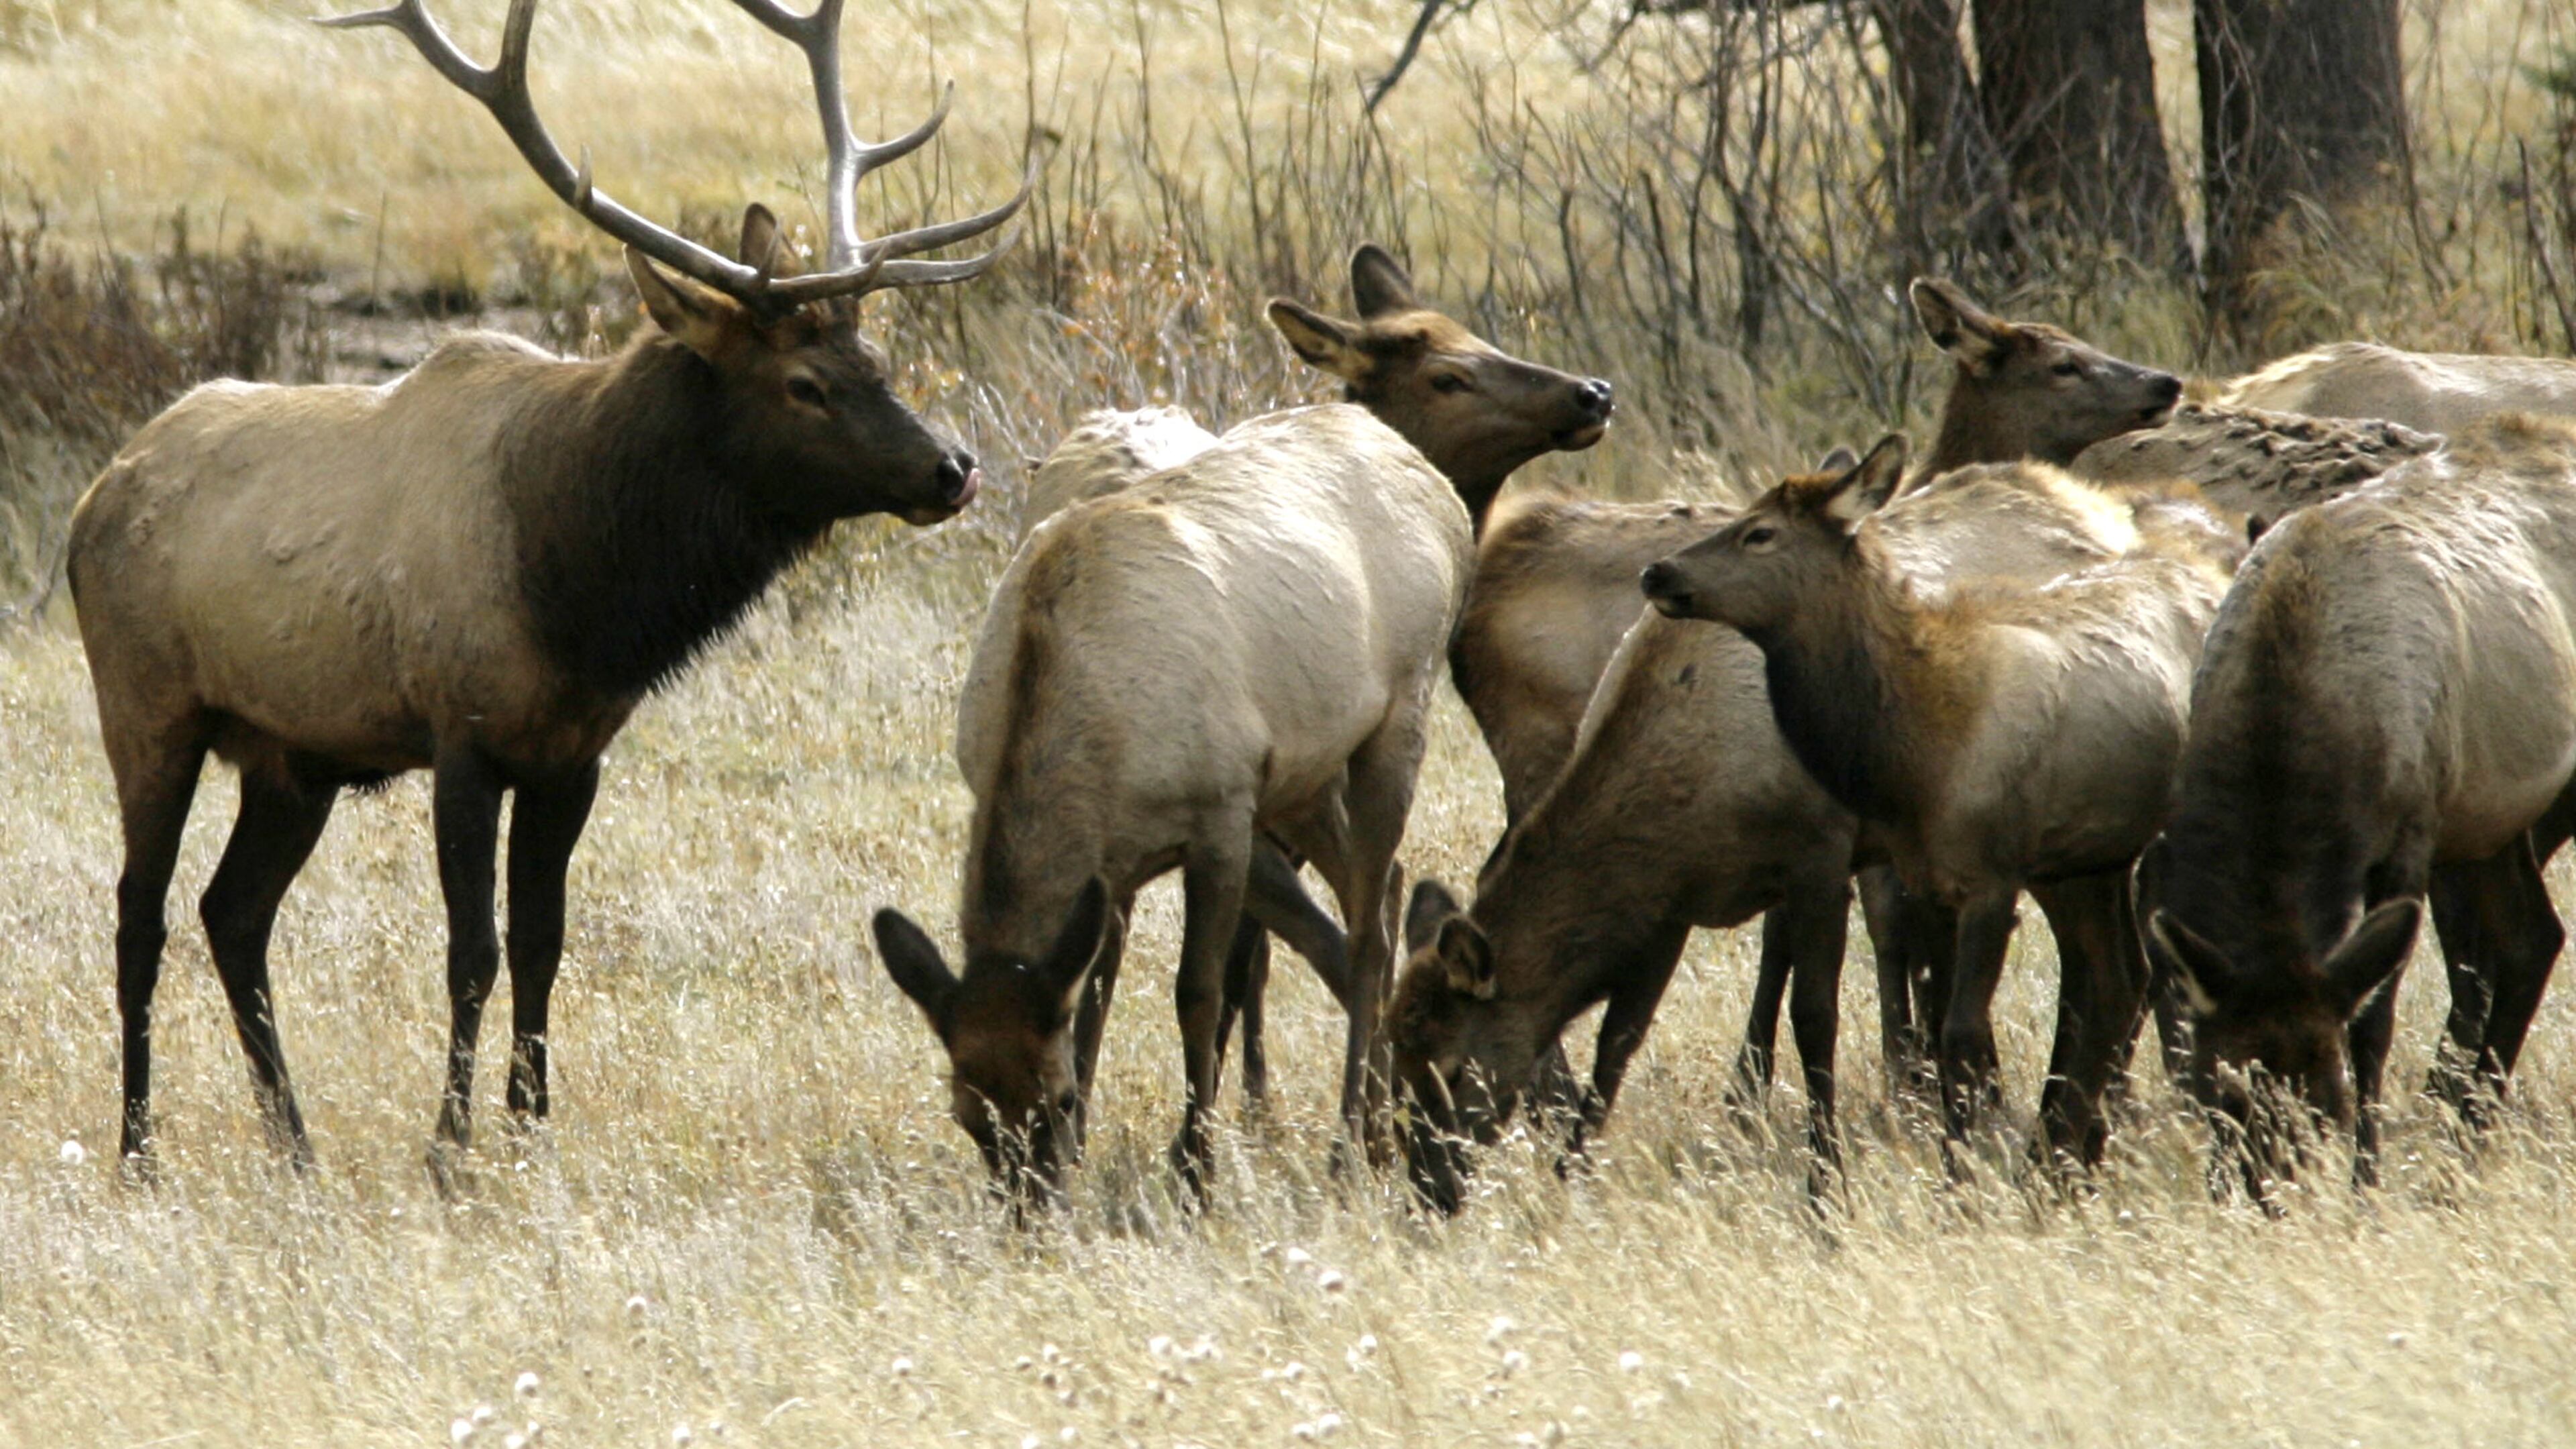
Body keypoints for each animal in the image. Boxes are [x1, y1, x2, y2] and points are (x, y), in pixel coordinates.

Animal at [67, 0, 1026, 1175]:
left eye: (877, 356)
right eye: (805, 384)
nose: (952, 467)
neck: (581, 593)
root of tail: (94, 498)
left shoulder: (574, 753)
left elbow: (543, 941)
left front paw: (533, 1132)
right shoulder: (463, 734)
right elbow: (471, 949)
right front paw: (449, 1149)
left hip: (294, 756)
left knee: (232, 913)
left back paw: (294, 1144)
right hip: (148, 704)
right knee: (140, 913)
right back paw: (137, 1148)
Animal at [872, 404, 1471, 1204]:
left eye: (1054, 1099)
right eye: (968, 1114)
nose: (1032, 1212)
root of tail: (1438, 485)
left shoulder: (1221, 810)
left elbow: (1198, 993)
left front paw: (1197, 1173)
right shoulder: (1115, 861)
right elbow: (1094, 993)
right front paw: (1096, 1149)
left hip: (1401, 710)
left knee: (1370, 931)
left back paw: (1355, 1144)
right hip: (1302, 773)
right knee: (1376, 892)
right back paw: (1380, 1122)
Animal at [1641, 439, 2243, 1169]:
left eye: (1760, 533)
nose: (1657, 571)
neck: (1920, 751)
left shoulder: (1993, 873)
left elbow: (1960, 1030)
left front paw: (1961, 1168)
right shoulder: (1929, 873)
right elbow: (1934, 1012)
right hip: (2083, 862)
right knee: (2116, 978)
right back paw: (2063, 1155)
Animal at [2137, 414, 2576, 1197]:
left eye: (2329, 1104)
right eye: (2226, 1091)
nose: (2269, 1195)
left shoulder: (2410, 833)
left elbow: (2374, 1023)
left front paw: (2367, 1181)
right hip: (2488, 817)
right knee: (2533, 936)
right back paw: (2467, 1123)